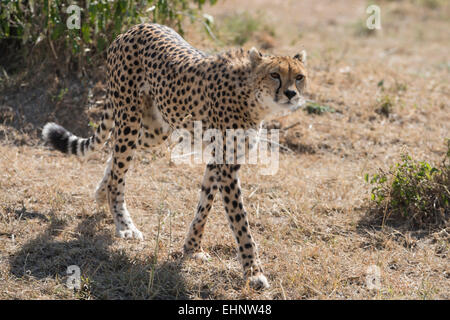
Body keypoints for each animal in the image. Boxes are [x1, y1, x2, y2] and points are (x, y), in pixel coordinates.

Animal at [42, 21, 308, 288]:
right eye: (274, 74)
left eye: (299, 77)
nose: (291, 94)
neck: (252, 97)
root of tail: (137, 26)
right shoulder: (226, 163)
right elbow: (239, 220)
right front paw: (254, 272)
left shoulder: (220, 159)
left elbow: (205, 203)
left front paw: (192, 248)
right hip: (129, 117)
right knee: (119, 167)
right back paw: (124, 224)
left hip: (154, 129)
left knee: (117, 157)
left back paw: (101, 191)